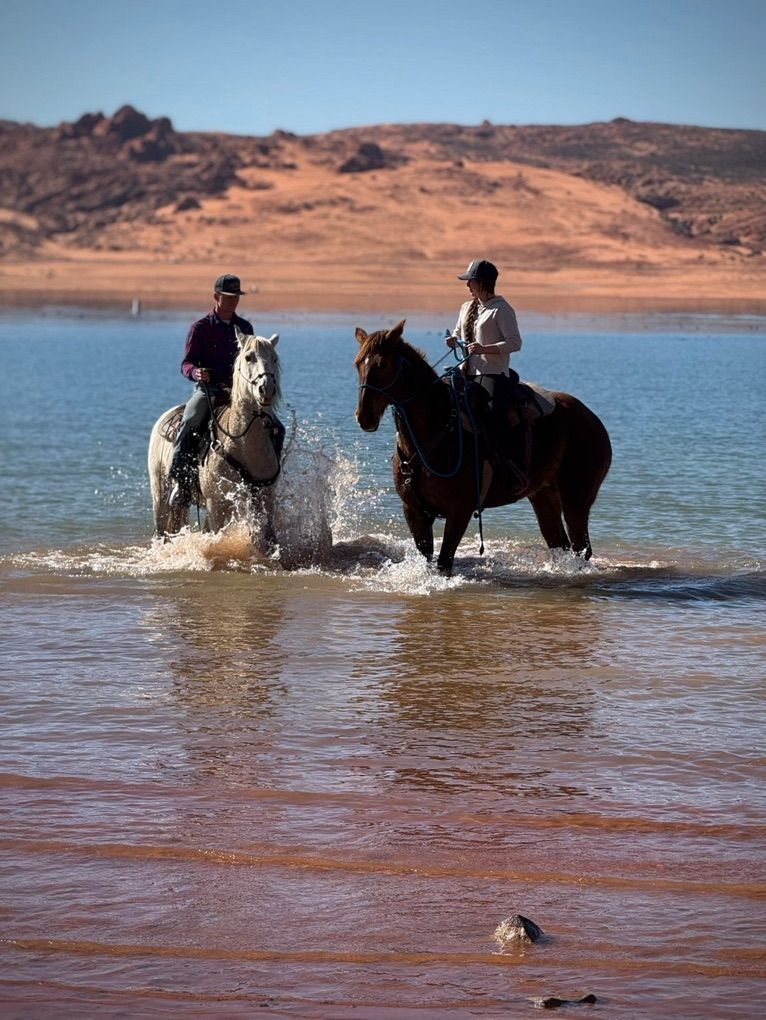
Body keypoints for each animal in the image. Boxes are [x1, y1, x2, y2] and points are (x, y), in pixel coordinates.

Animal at [148, 328, 283, 548]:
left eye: (274, 358)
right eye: (249, 357)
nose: (267, 389)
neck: (243, 445)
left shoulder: (265, 499)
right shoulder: (216, 504)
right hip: (160, 493)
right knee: (160, 530)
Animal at [355, 320, 612, 573]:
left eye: (382, 364)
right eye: (357, 364)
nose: (364, 417)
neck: (434, 435)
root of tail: (593, 419)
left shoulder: (460, 511)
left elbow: (444, 562)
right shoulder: (414, 511)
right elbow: (428, 559)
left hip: (576, 500)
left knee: (580, 548)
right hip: (543, 496)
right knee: (560, 544)